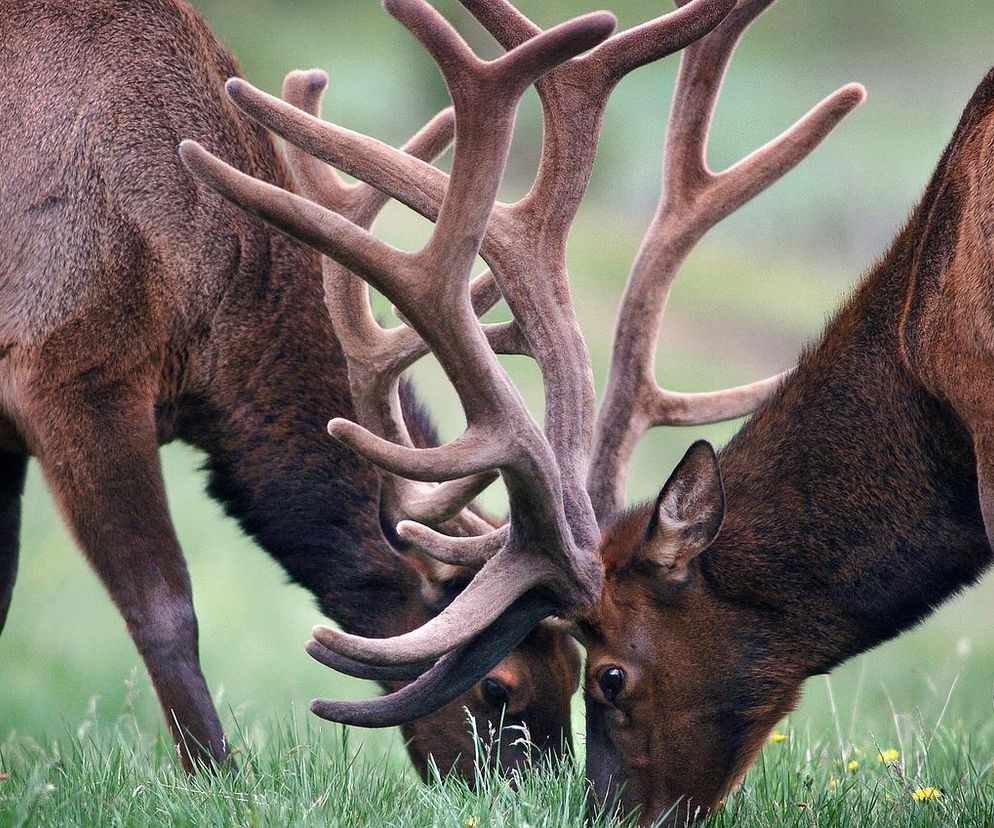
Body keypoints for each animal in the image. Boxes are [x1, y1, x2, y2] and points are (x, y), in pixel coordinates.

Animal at [0, 0, 664, 780]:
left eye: (573, 665)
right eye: (498, 687)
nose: (541, 791)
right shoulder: (69, 367)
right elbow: (163, 604)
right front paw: (219, 777)